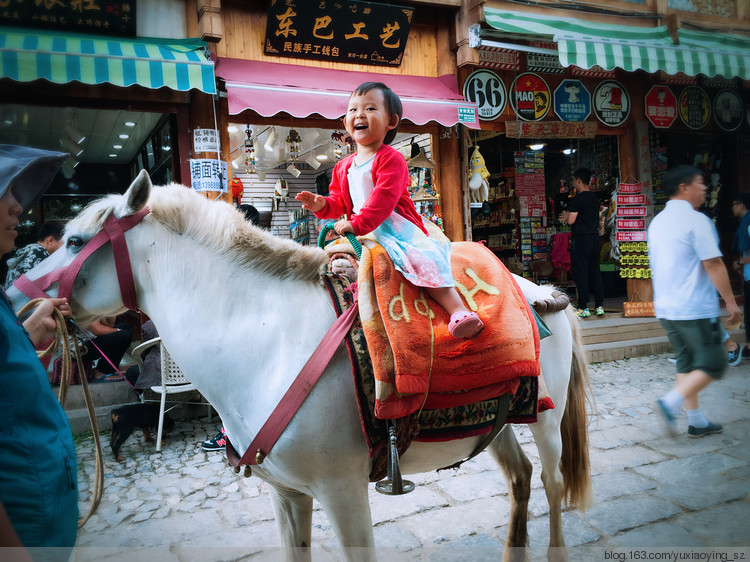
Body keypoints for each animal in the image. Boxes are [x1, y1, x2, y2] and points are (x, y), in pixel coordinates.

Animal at [8, 172, 592, 560]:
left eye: (76, 241)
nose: (14, 297)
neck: (268, 346)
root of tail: (543, 290)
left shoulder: (344, 492)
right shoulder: (286, 494)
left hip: (546, 417)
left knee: (552, 482)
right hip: (498, 424)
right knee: (520, 479)